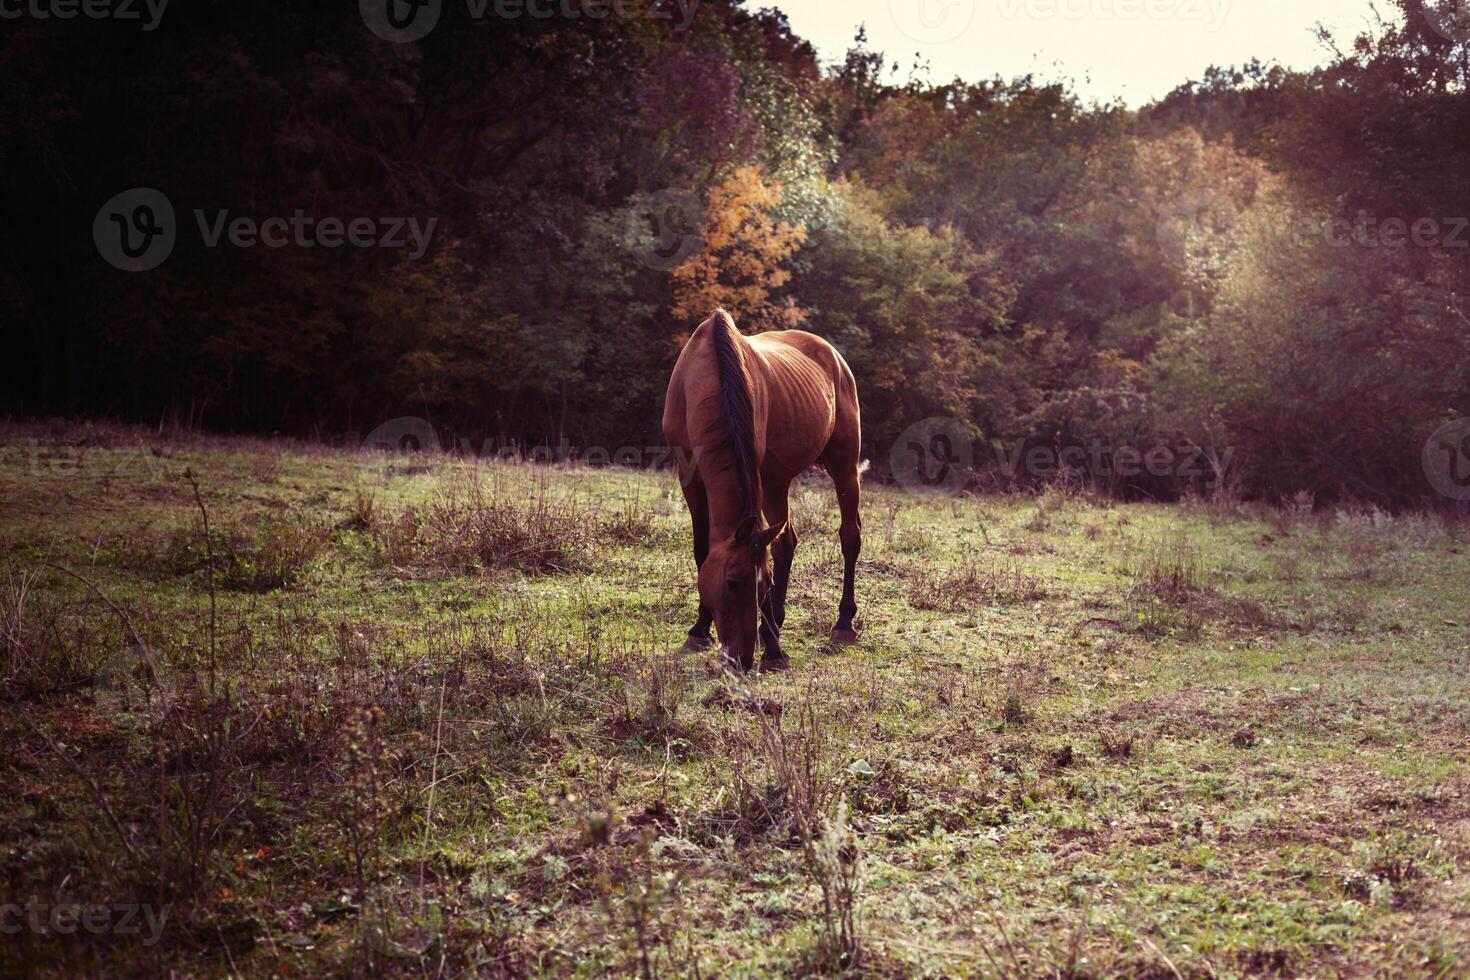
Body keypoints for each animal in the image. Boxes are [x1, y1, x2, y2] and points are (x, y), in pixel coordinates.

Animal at [664, 310, 858, 669]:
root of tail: (832, 355)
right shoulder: (689, 477)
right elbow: (702, 550)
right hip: (776, 481)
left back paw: (842, 624)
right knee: (786, 542)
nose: (741, 658)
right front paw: (700, 629)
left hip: (844, 465)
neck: (709, 374)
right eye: (733, 582)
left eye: (764, 584)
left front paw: (774, 647)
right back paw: (777, 621)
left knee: (850, 536)